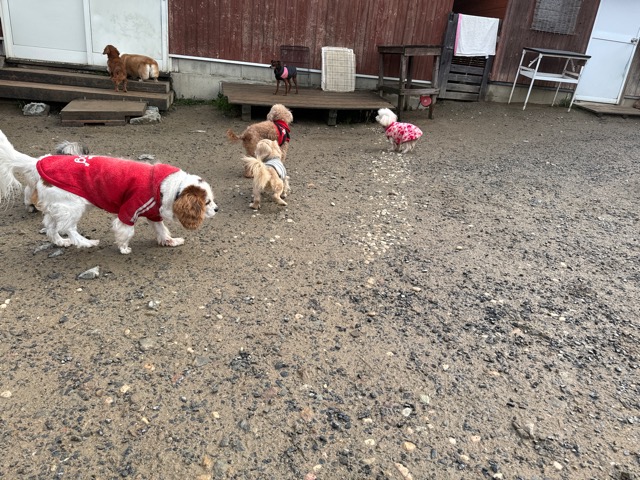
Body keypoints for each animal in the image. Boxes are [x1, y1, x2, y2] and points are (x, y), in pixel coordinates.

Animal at [0, 130, 218, 255]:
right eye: (206, 202)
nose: (217, 209)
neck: (167, 187)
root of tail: (39, 162)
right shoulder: (130, 210)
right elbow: (126, 230)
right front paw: (124, 247)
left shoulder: (154, 213)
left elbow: (161, 229)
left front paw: (169, 241)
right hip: (73, 206)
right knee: (68, 227)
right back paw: (86, 243)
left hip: (59, 206)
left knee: (52, 227)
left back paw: (61, 242)